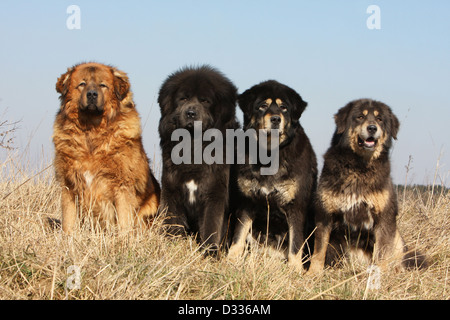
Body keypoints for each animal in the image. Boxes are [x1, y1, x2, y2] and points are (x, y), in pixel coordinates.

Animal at [52, 62, 160, 232]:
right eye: (82, 84)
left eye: (103, 85)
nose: (92, 94)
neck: (92, 129)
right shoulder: (68, 184)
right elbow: (68, 220)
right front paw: (67, 237)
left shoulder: (123, 185)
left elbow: (124, 220)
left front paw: (124, 237)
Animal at [157, 65, 237, 255]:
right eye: (183, 98)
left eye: (205, 101)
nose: (191, 113)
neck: (193, 144)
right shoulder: (171, 190)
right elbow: (171, 223)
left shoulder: (214, 194)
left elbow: (211, 225)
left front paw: (210, 253)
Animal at [227, 79, 318, 270]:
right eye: (263, 106)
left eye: (284, 107)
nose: (276, 119)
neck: (269, 154)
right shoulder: (247, 202)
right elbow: (238, 236)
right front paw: (230, 260)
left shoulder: (296, 206)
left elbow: (295, 244)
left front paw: (295, 270)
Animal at [308, 98, 428, 276]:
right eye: (360, 117)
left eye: (380, 119)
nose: (372, 128)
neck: (359, 167)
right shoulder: (324, 215)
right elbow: (319, 251)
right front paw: (312, 273)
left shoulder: (384, 218)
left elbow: (382, 253)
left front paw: (380, 276)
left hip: (397, 238)